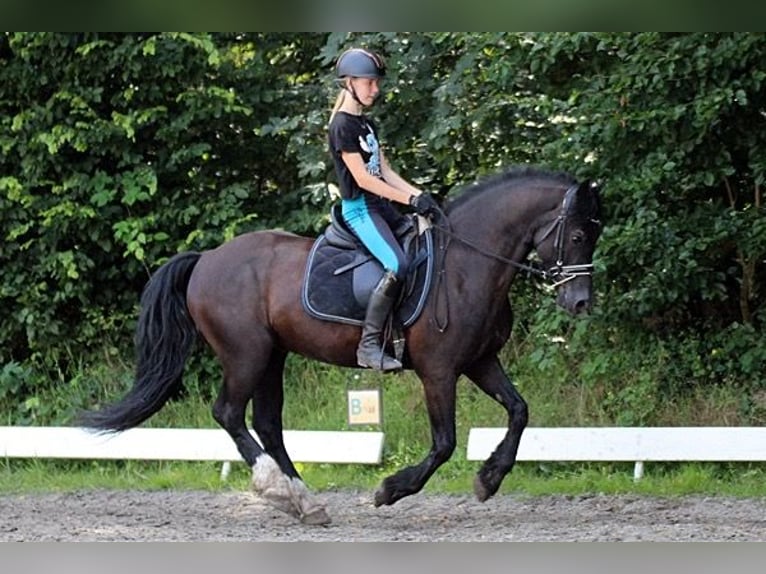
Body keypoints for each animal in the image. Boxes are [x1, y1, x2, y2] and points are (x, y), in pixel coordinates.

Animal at [81, 168, 604, 528]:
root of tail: (207, 258)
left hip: (272, 356)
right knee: (228, 413)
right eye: (578, 234)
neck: (466, 264)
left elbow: (519, 410)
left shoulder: (480, 361)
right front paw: (391, 490)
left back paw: (305, 502)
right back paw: (277, 490)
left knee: (267, 424)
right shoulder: (439, 371)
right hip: (245, 354)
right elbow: (444, 443)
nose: (580, 302)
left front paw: (489, 480)